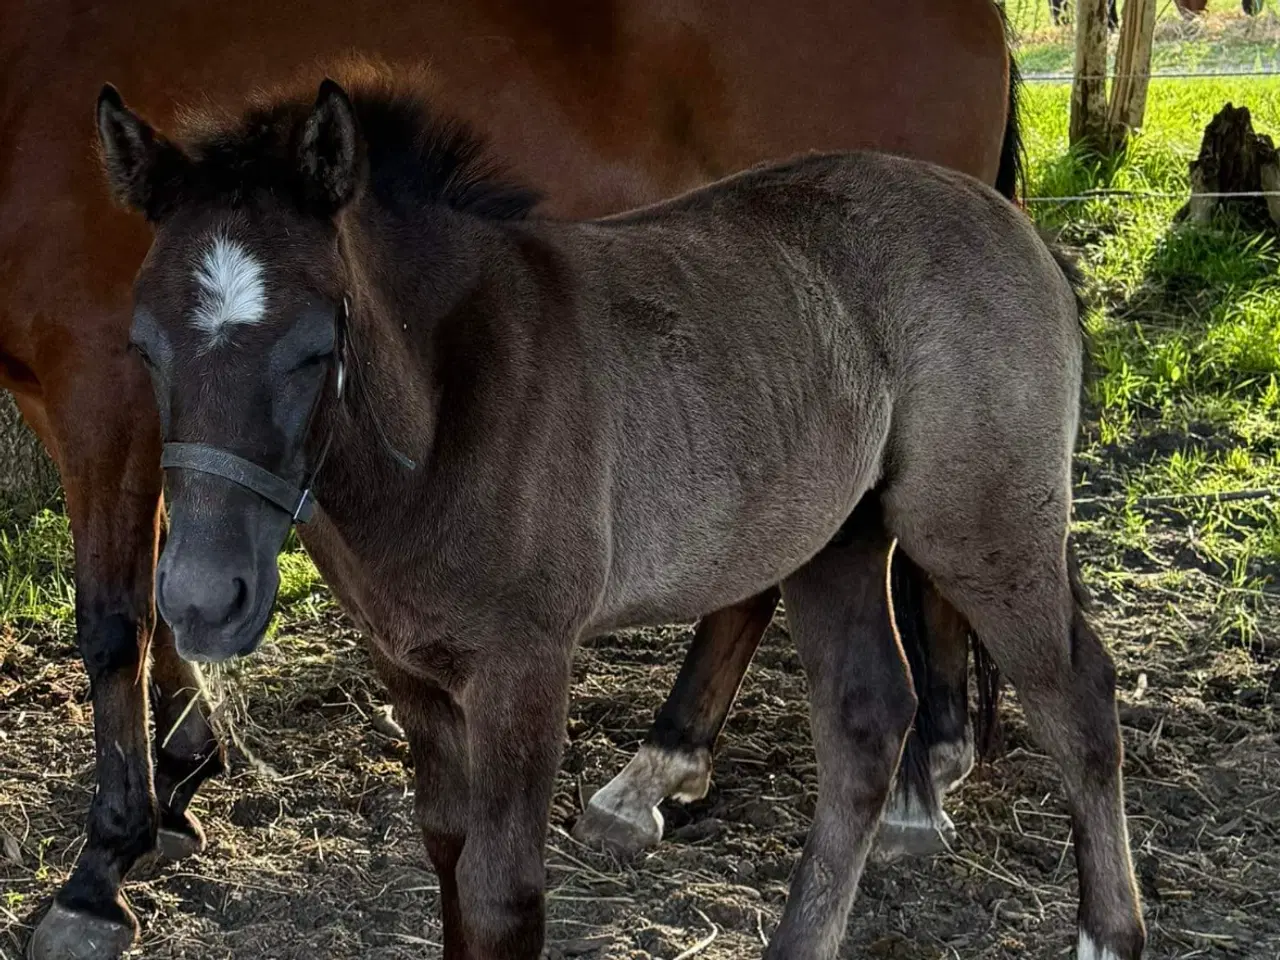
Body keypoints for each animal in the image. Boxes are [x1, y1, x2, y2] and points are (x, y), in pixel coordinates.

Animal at [0, 3, 1018, 957]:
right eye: (149, 345)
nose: (221, 603)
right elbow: (158, 611)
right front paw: (179, 781)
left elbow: (114, 623)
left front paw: (101, 870)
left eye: (318, 346)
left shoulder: (94, 393)